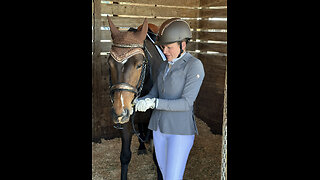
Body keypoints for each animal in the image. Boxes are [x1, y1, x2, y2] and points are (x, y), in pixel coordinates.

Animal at [106, 15, 165, 180]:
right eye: (110, 63)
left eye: (139, 65)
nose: (119, 110)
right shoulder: (125, 119)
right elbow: (125, 156)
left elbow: (158, 158)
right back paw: (142, 146)